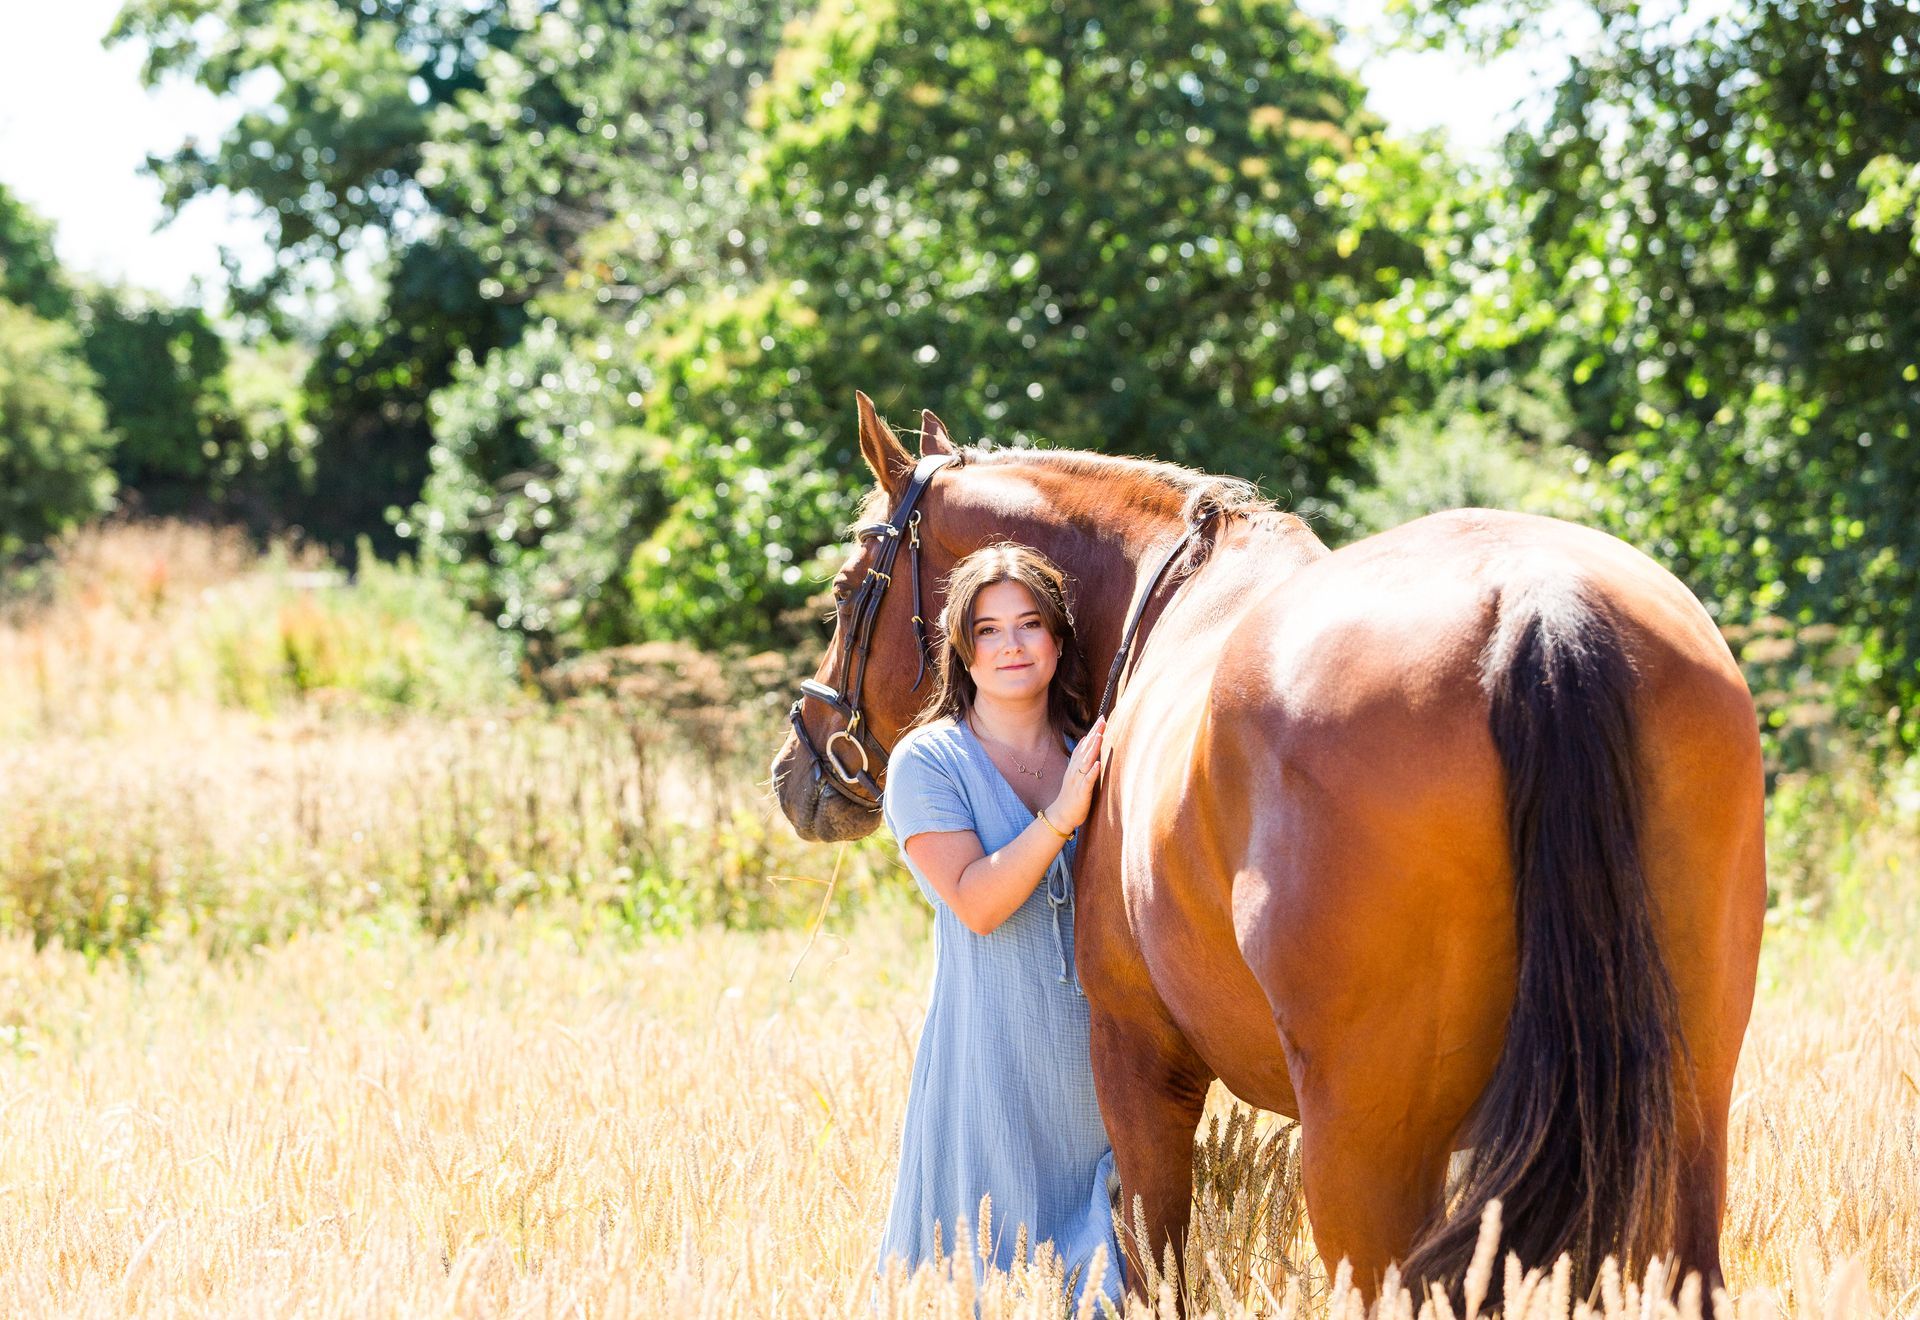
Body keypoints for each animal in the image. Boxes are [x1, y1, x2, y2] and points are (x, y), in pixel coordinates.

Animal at [771, 392, 1766, 1301]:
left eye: (845, 588)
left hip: (1364, 1150)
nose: (795, 765)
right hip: (1680, 1122)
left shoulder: (1138, 1060)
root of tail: (1534, 599)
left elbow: (1157, 1265)